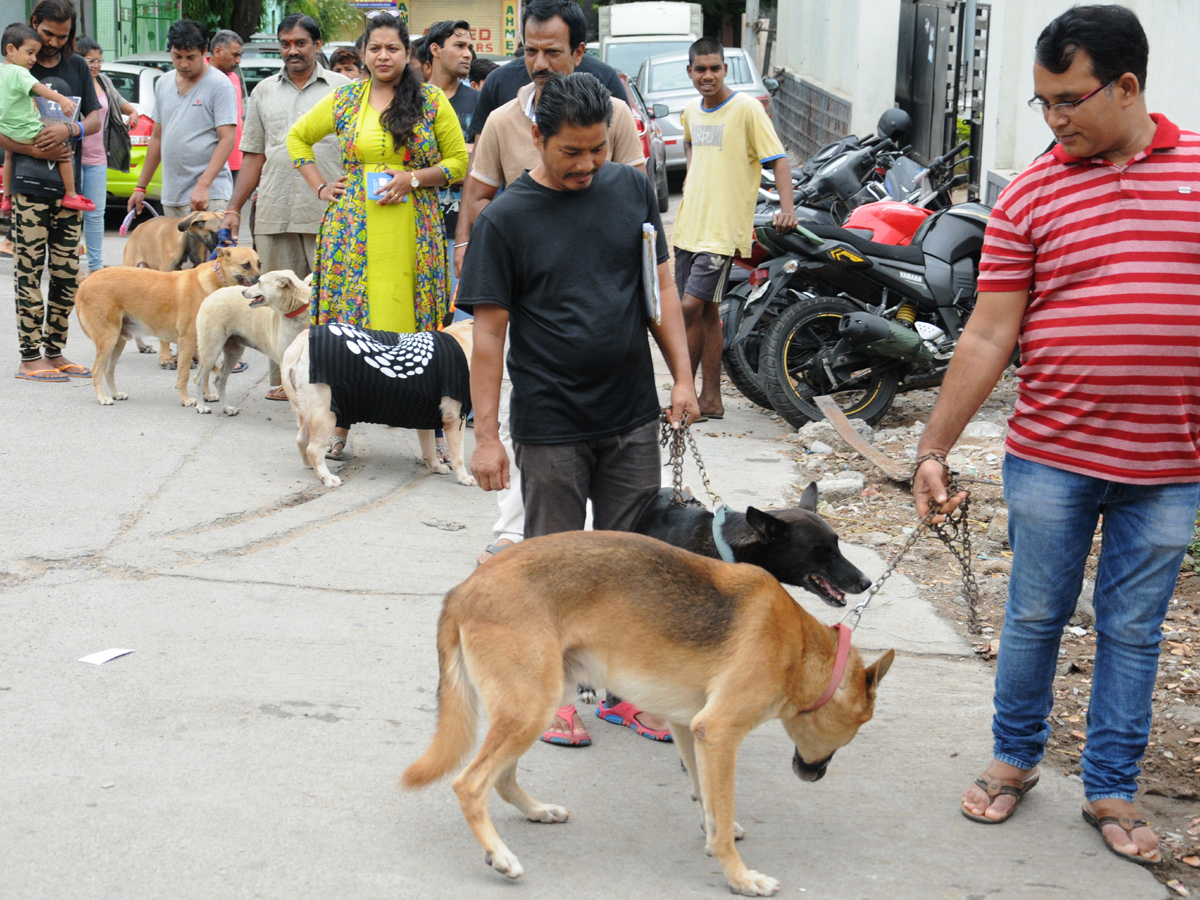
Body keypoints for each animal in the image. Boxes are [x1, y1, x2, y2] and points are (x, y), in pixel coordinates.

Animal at [76, 244, 262, 403]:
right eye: (246, 265)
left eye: (259, 264)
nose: (260, 280)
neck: (217, 279)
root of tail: (85, 283)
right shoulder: (187, 342)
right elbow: (184, 375)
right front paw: (185, 400)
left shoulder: (204, 345)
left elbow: (205, 375)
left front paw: (206, 396)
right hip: (108, 339)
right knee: (96, 371)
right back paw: (102, 398)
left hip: (118, 341)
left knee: (108, 371)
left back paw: (116, 394)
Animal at [194, 270, 312, 415]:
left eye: (259, 281)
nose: (243, 291)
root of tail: (211, 295)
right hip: (211, 350)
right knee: (199, 379)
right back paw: (201, 406)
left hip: (234, 352)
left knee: (220, 381)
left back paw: (227, 408)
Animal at [403, 532, 892, 897]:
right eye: (856, 730)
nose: (816, 775)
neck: (802, 649)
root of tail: (463, 590)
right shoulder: (719, 734)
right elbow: (719, 805)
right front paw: (739, 877)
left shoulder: (690, 729)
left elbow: (707, 798)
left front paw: (716, 832)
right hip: (531, 708)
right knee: (471, 784)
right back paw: (500, 854)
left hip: (537, 704)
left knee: (501, 778)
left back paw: (537, 812)